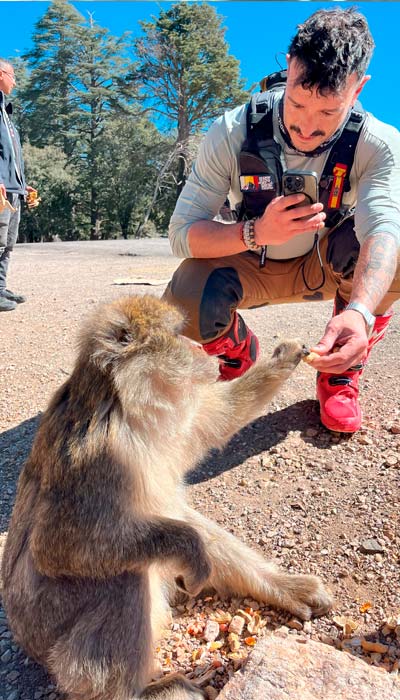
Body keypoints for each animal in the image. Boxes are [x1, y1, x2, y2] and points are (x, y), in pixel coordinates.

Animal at [1, 294, 333, 700]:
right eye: (176, 334)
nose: (201, 350)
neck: (126, 405)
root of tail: (27, 641)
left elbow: (218, 419)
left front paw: (286, 356)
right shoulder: (97, 458)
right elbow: (57, 547)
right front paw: (192, 553)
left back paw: (283, 588)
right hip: (50, 627)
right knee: (124, 574)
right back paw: (136, 692)